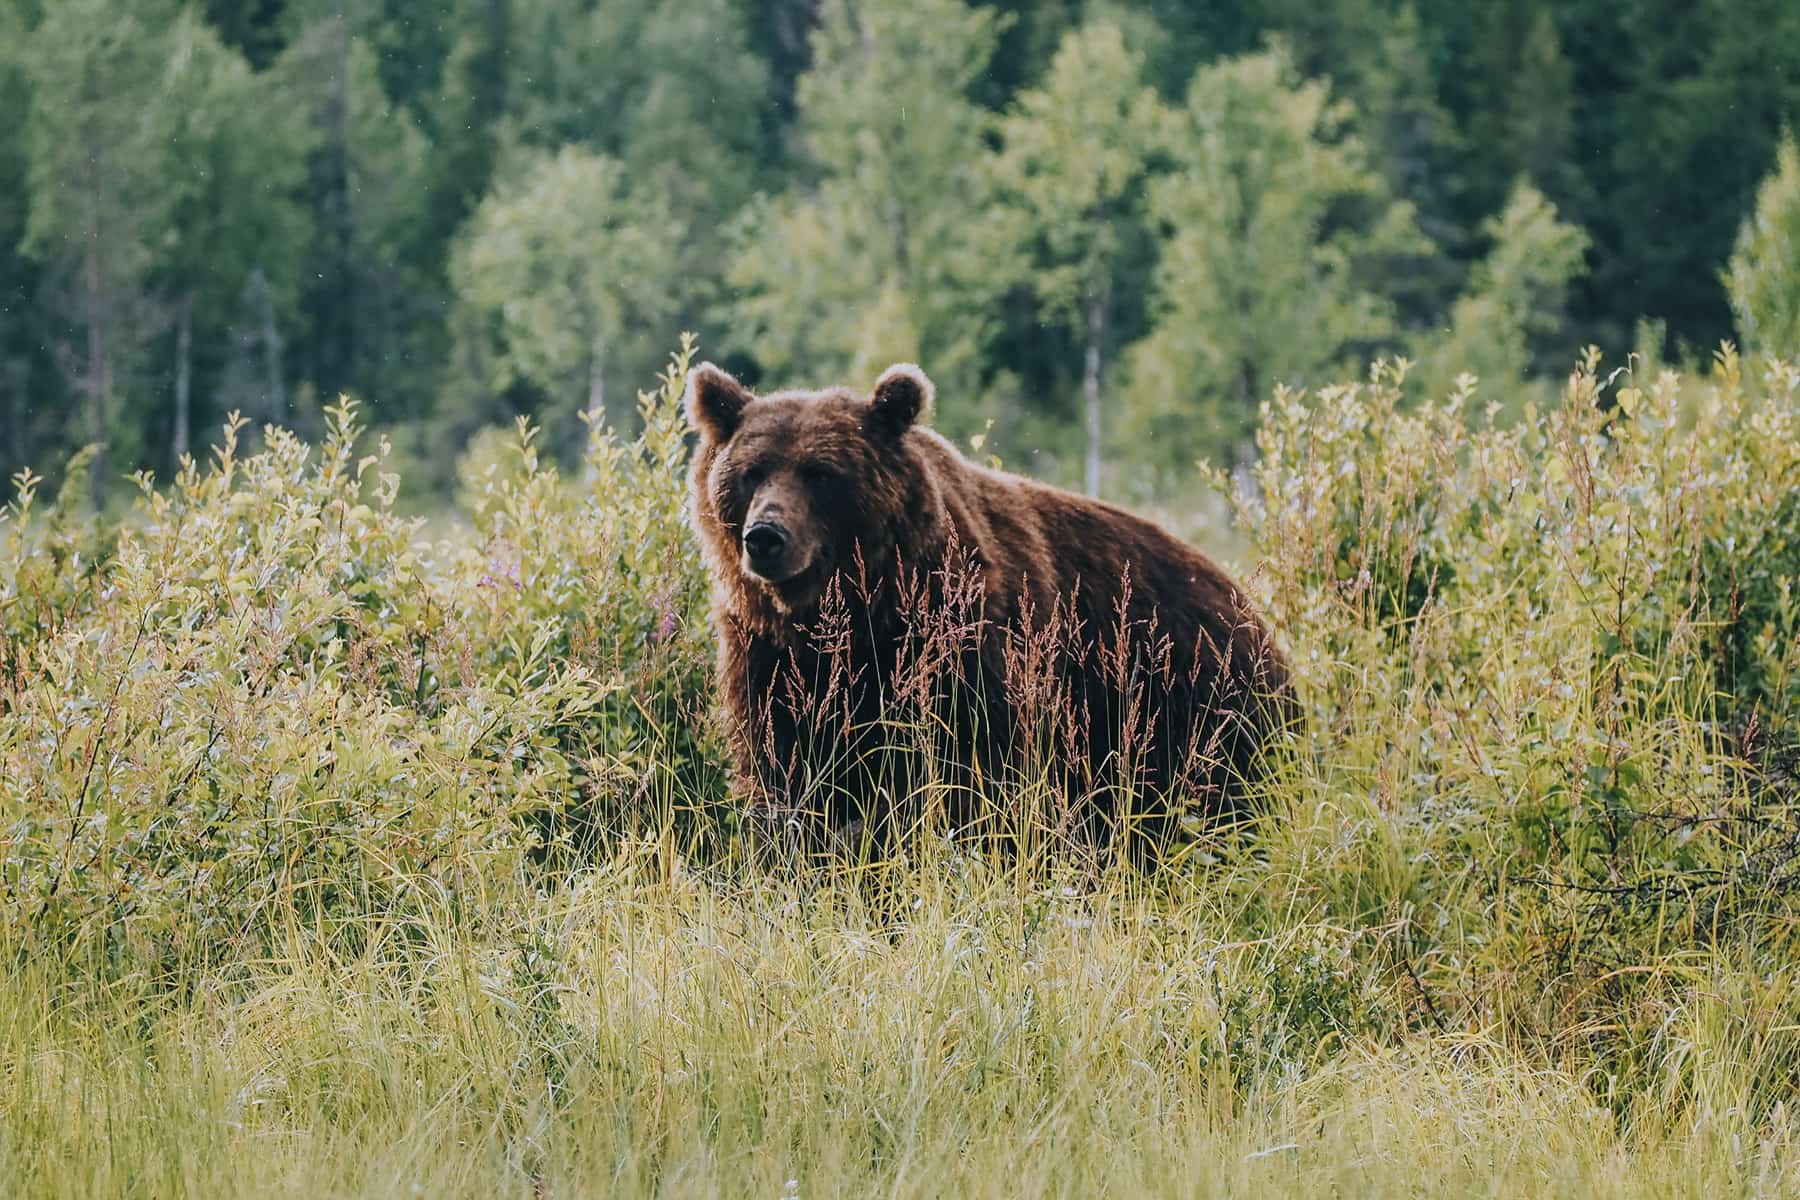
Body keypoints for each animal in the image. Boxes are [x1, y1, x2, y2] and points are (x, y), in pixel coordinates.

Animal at [685, 360, 1295, 863]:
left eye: (820, 473)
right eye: (752, 471)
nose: (766, 537)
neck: (858, 613)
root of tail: (1255, 614)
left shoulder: (958, 639)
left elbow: (973, 771)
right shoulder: (769, 658)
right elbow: (784, 771)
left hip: (1196, 703)